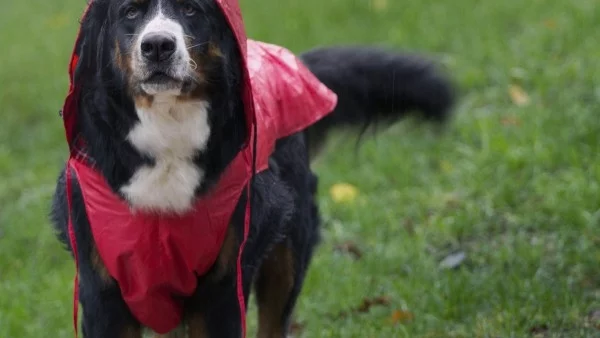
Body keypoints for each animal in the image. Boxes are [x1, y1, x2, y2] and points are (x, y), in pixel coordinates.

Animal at [50, 0, 454, 338]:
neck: (167, 130)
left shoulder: (223, 287)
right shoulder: (103, 290)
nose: (158, 46)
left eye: (191, 9)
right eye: (131, 12)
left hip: (287, 254)